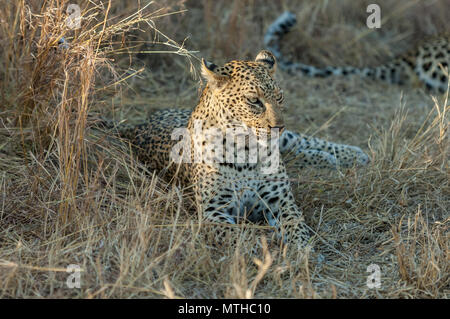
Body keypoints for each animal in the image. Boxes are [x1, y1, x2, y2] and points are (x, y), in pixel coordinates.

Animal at [102, 50, 370, 250]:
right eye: (254, 100)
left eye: (279, 97)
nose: (279, 126)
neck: (246, 151)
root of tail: (138, 126)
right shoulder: (213, 212)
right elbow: (239, 235)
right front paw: (266, 250)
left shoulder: (281, 202)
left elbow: (296, 226)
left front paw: (301, 250)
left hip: (289, 141)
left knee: (299, 142)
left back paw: (351, 154)